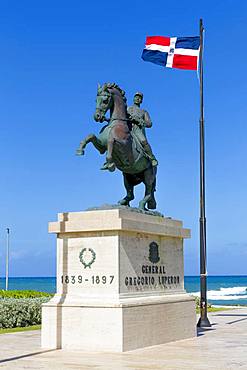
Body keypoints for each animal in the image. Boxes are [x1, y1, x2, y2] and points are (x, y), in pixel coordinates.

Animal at [76, 83, 156, 211]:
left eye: (105, 100)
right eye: (96, 100)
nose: (97, 117)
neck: (116, 123)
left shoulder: (123, 144)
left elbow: (111, 141)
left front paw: (109, 163)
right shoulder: (101, 146)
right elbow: (91, 136)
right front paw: (80, 150)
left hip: (148, 175)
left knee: (148, 192)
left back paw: (141, 205)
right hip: (128, 176)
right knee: (130, 193)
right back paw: (123, 202)